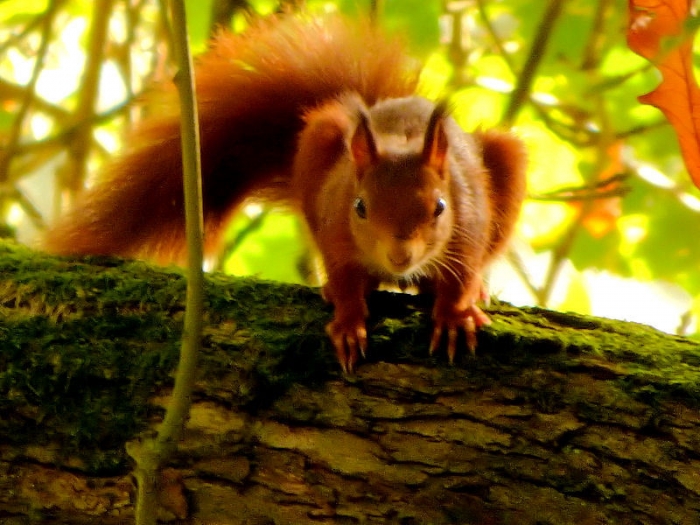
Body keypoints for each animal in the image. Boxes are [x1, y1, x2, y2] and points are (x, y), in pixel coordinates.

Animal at [43, 14, 527, 372]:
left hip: (507, 160)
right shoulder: (334, 226)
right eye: (360, 207)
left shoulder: (469, 220)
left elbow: (462, 269)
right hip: (317, 140)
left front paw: (455, 314)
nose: (399, 256)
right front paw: (347, 320)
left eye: (440, 207)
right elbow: (344, 274)